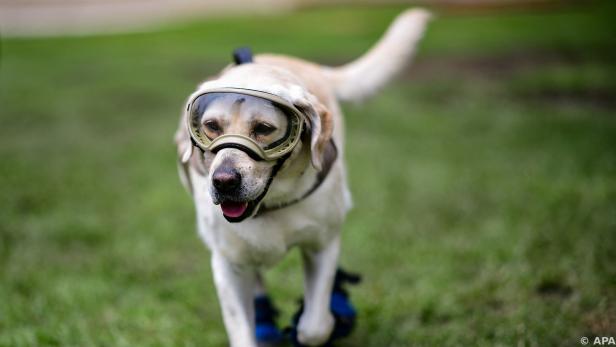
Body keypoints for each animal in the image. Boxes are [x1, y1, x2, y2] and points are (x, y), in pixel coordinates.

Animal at [176, 8, 430, 347]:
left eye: (264, 129)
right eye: (212, 126)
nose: (224, 181)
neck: (270, 205)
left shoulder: (322, 245)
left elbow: (314, 326)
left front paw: (317, 325)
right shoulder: (228, 264)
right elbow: (241, 330)